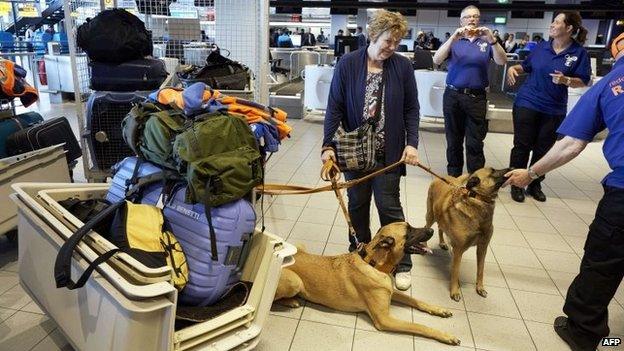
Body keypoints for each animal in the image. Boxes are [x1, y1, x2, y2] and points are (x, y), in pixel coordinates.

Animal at [276, 223, 460, 346]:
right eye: (409, 231)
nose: (432, 230)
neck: (374, 264)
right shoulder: (384, 319)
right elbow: (419, 326)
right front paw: (445, 335)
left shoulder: (391, 292)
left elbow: (416, 301)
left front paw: (440, 310)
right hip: (295, 281)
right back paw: (290, 301)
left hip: (300, 248)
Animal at [426, 168, 510, 302]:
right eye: (492, 172)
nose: (511, 168)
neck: (478, 200)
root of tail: (443, 177)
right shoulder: (458, 250)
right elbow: (455, 272)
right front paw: (454, 291)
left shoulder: (482, 248)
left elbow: (480, 270)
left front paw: (480, 288)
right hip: (431, 215)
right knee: (427, 227)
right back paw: (425, 246)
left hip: (440, 217)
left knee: (441, 227)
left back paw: (442, 242)